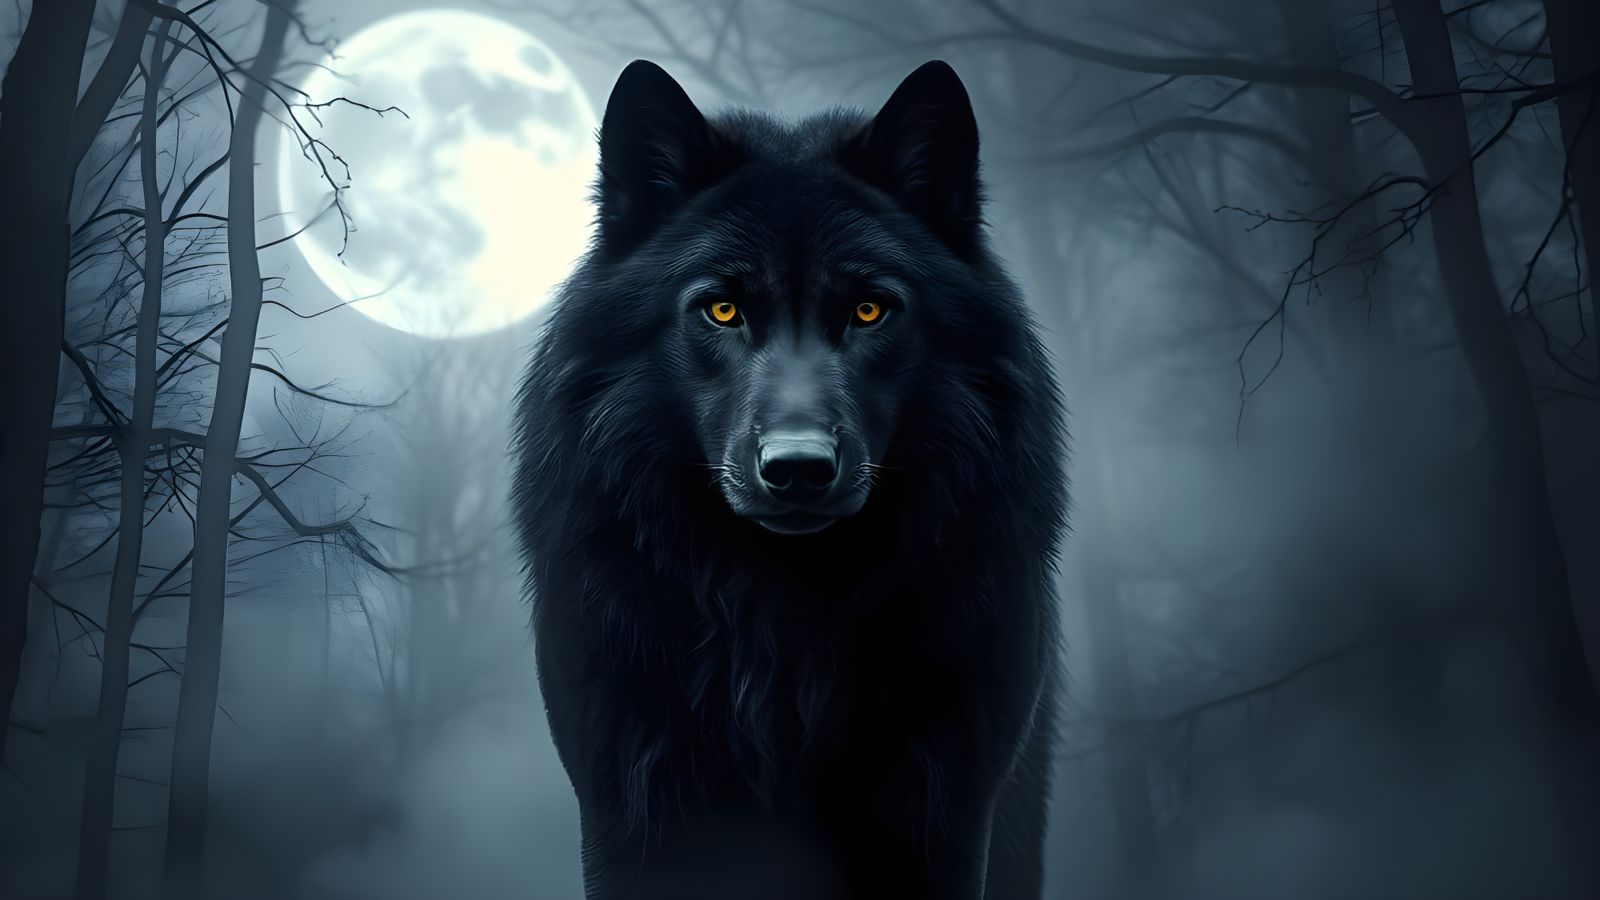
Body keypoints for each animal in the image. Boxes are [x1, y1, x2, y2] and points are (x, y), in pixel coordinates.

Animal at [512, 58, 1067, 900]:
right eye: (721, 309)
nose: (798, 469)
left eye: (869, 310)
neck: (782, 613)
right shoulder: (631, 808)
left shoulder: (943, 812)